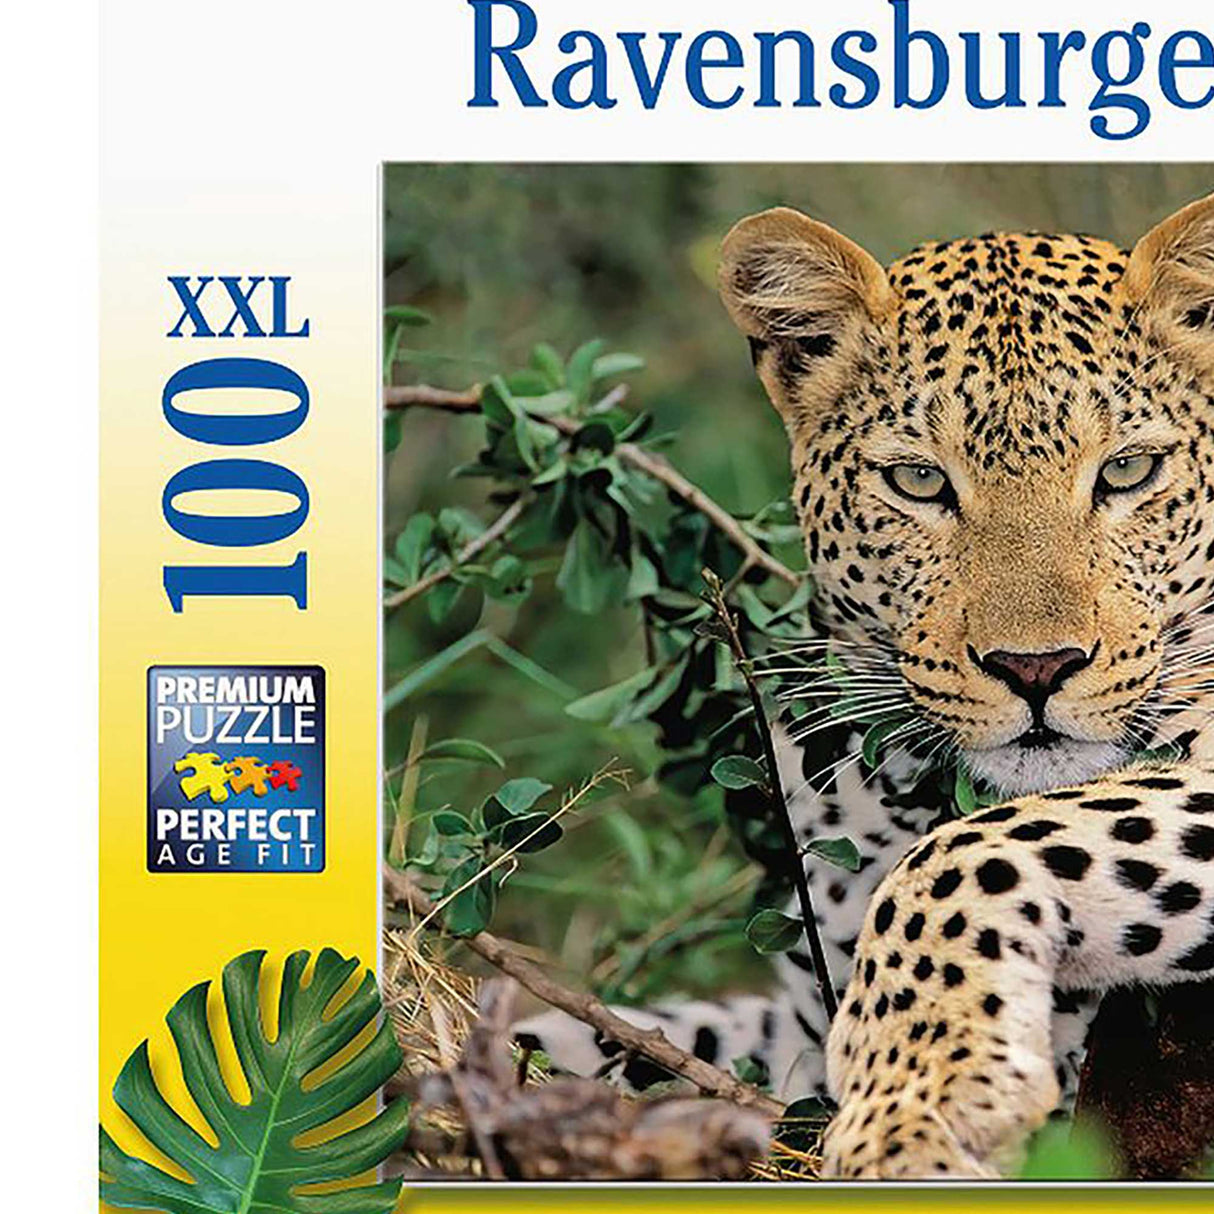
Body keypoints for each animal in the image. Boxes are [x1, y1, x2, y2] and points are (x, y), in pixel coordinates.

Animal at [515, 190, 1214, 1178]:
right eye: (918, 481)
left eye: (1127, 470)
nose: (1035, 667)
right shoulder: (801, 1018)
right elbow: (641, 1035)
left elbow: (980, 847)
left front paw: (921, 1106)